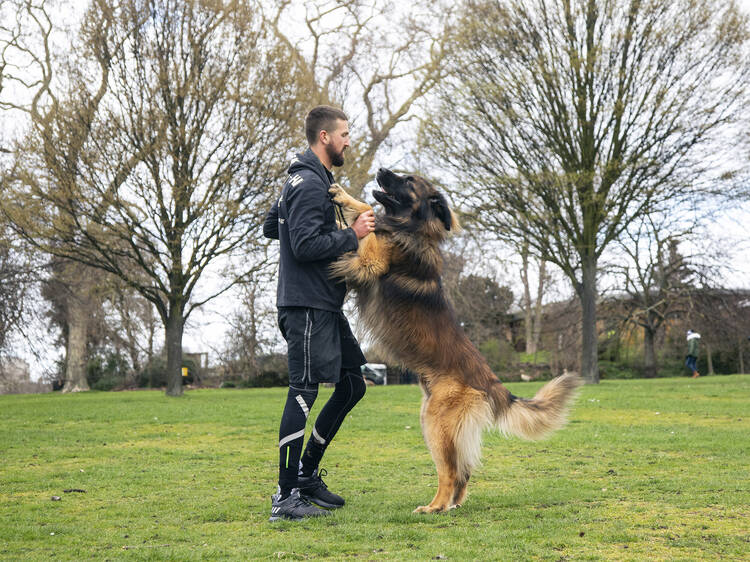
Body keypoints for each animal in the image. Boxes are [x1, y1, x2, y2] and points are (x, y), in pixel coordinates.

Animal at [328, 167, 580, 512]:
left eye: (408, 180)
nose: (380, 170)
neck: (413, 229)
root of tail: (492, 382)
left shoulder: (371, 262)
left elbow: (367, 214)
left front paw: (344, 197)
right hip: (433, 419)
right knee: (463, 470)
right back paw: (452, 504)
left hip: (437, 422)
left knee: (449, 471)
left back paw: (434, 506)